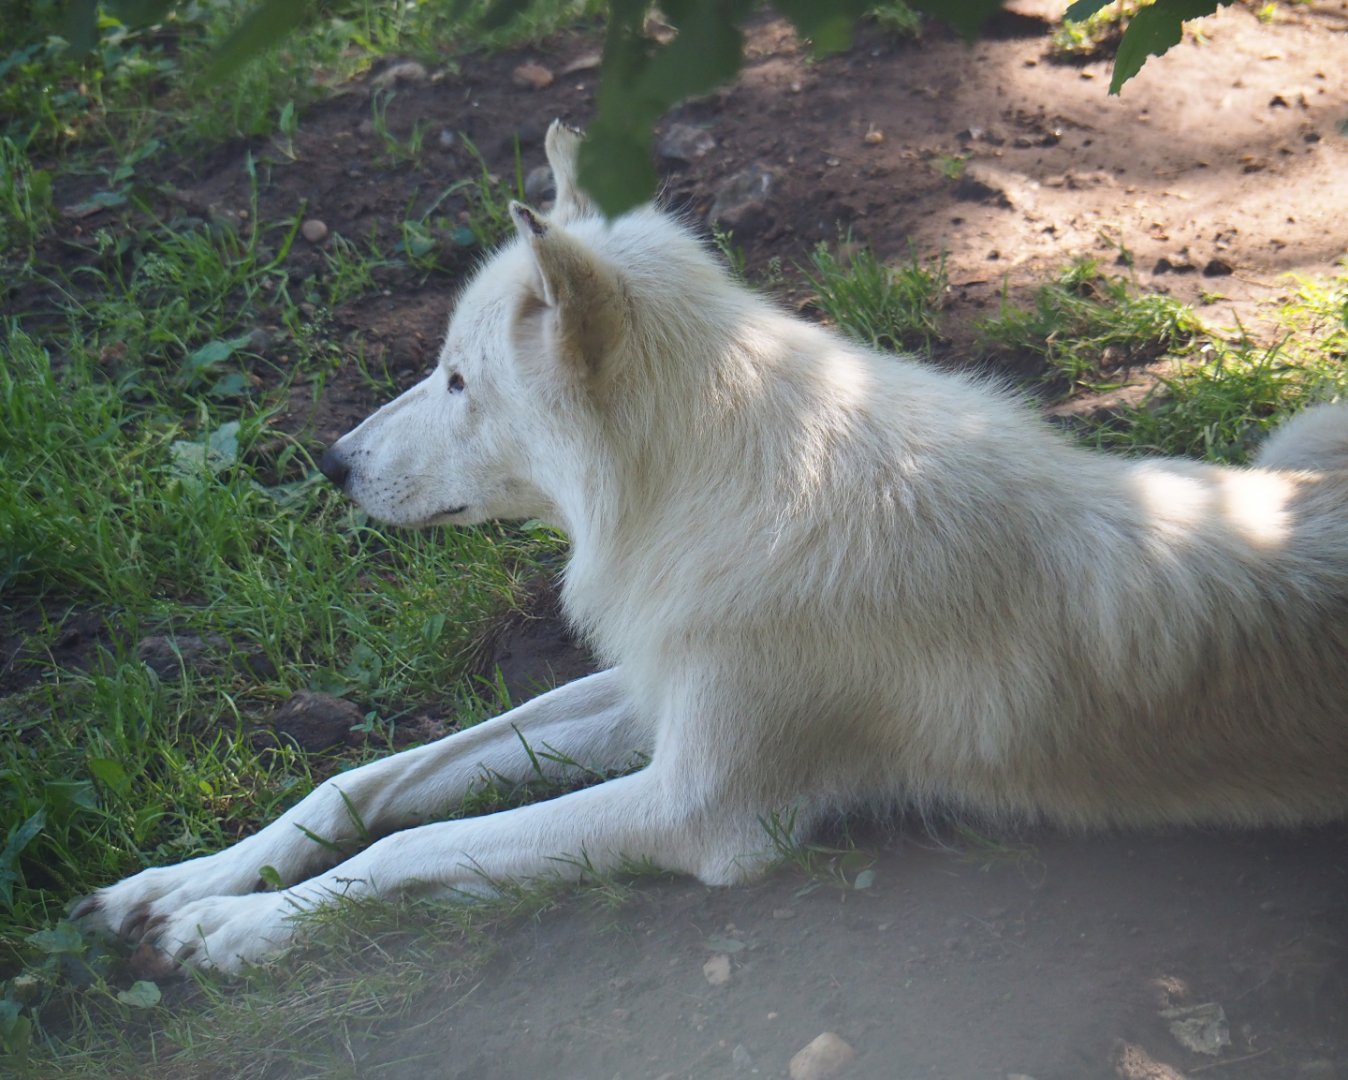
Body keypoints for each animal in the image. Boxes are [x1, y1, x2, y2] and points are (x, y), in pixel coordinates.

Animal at [77, 121, 1348, 972]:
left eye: (456, 381)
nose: (331, 463)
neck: (714, 493)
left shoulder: (696, 809)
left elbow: (408, 848)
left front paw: (230, 929)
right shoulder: (648, 686)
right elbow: (366, 780)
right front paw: (176, 884)